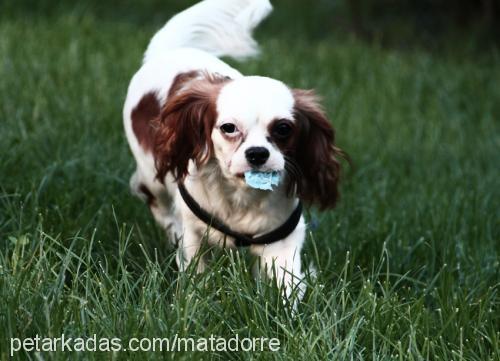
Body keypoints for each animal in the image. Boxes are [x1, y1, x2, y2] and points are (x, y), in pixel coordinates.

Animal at [124, 0, 344, 298]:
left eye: (283, 128)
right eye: (228, 128)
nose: (257, 153)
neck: (241, 195)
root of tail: (168, 50)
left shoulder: (283, 240)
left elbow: (285, 285)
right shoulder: (194, 232)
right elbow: (195, 270)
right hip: (152, 175)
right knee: (155, 199)